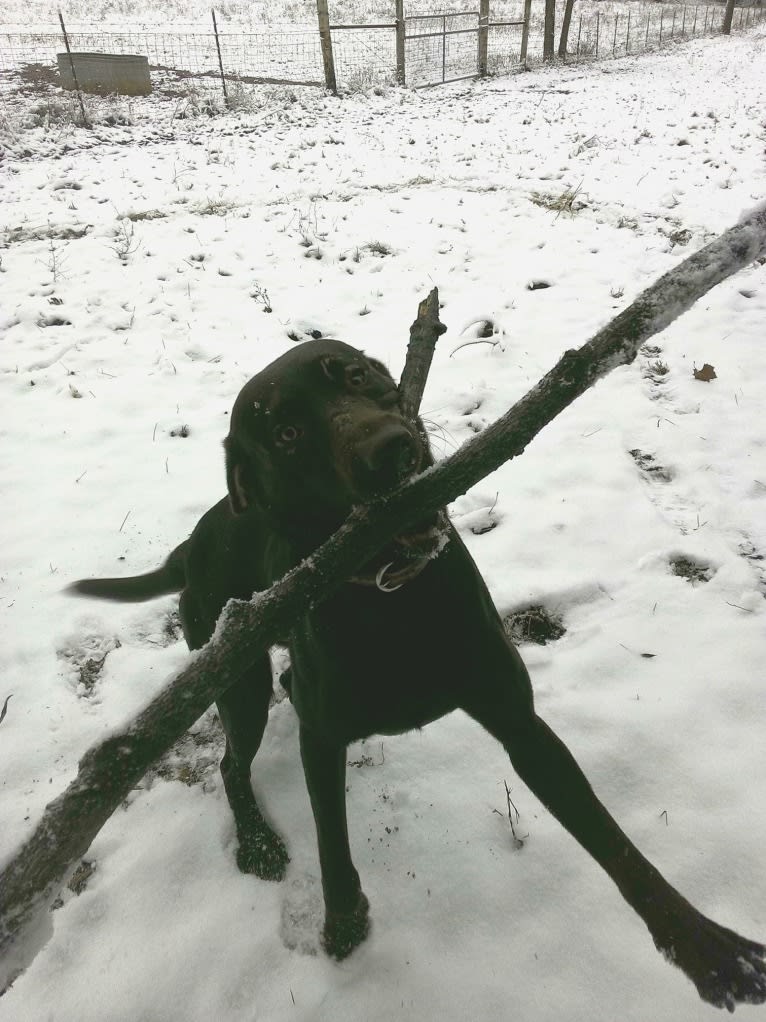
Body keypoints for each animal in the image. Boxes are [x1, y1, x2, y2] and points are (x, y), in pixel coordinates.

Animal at [68, 339, 763, 1009]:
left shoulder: (520, 723)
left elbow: (610, 838)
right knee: (231, 763)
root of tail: (189, 548)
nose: (390, 448)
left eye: (353, 376)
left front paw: (703, 946)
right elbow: (332, 843)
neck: (392, 594)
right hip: (240, 685)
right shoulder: (320, 740)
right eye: (286, 433)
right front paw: (343, 926)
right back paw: (257, 843)